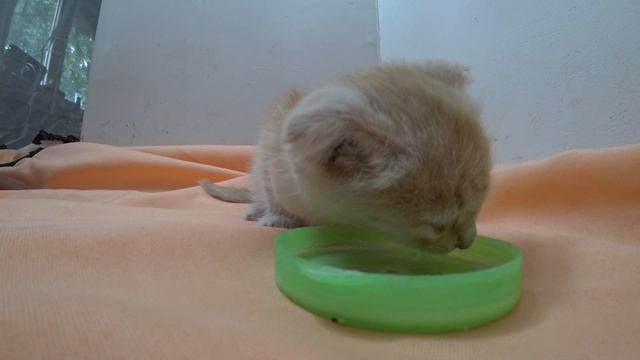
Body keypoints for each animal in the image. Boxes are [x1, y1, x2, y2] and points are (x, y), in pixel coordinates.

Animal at [200, 61, 490, 253]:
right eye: (437, 225)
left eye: (478, 209)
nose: (468, 242)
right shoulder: (272, 137)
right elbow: (270, 185)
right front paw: (279, 216)